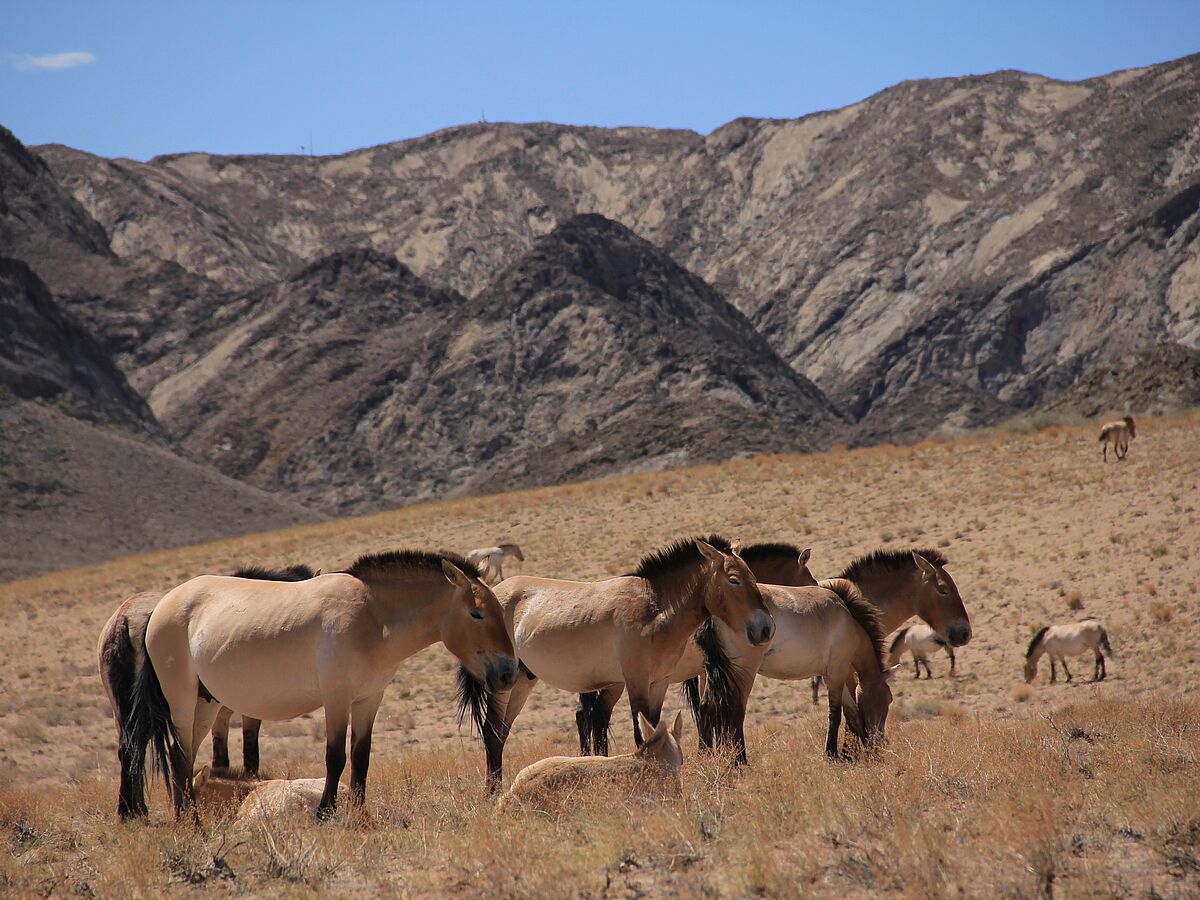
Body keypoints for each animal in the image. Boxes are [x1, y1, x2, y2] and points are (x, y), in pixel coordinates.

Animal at [97, 566, 314, 820]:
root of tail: (125, 618)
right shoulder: (231, 710)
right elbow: (244, 752)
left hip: (126, 711)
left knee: (130, 748)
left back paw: (131, 810)